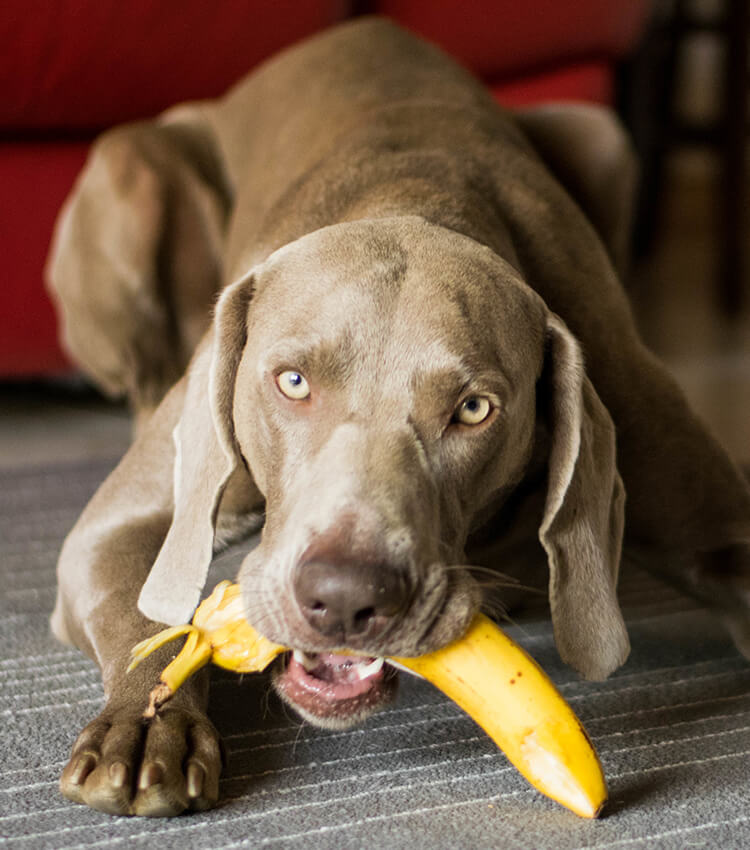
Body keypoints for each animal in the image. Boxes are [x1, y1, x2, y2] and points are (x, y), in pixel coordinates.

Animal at [48, 18, 750, 816]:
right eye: (293, 382)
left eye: (473, 409)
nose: (346, 599)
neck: (415, 199)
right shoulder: (113, 528)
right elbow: (148, 612)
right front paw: (145, 724)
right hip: (128, 169)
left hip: (600, 136)